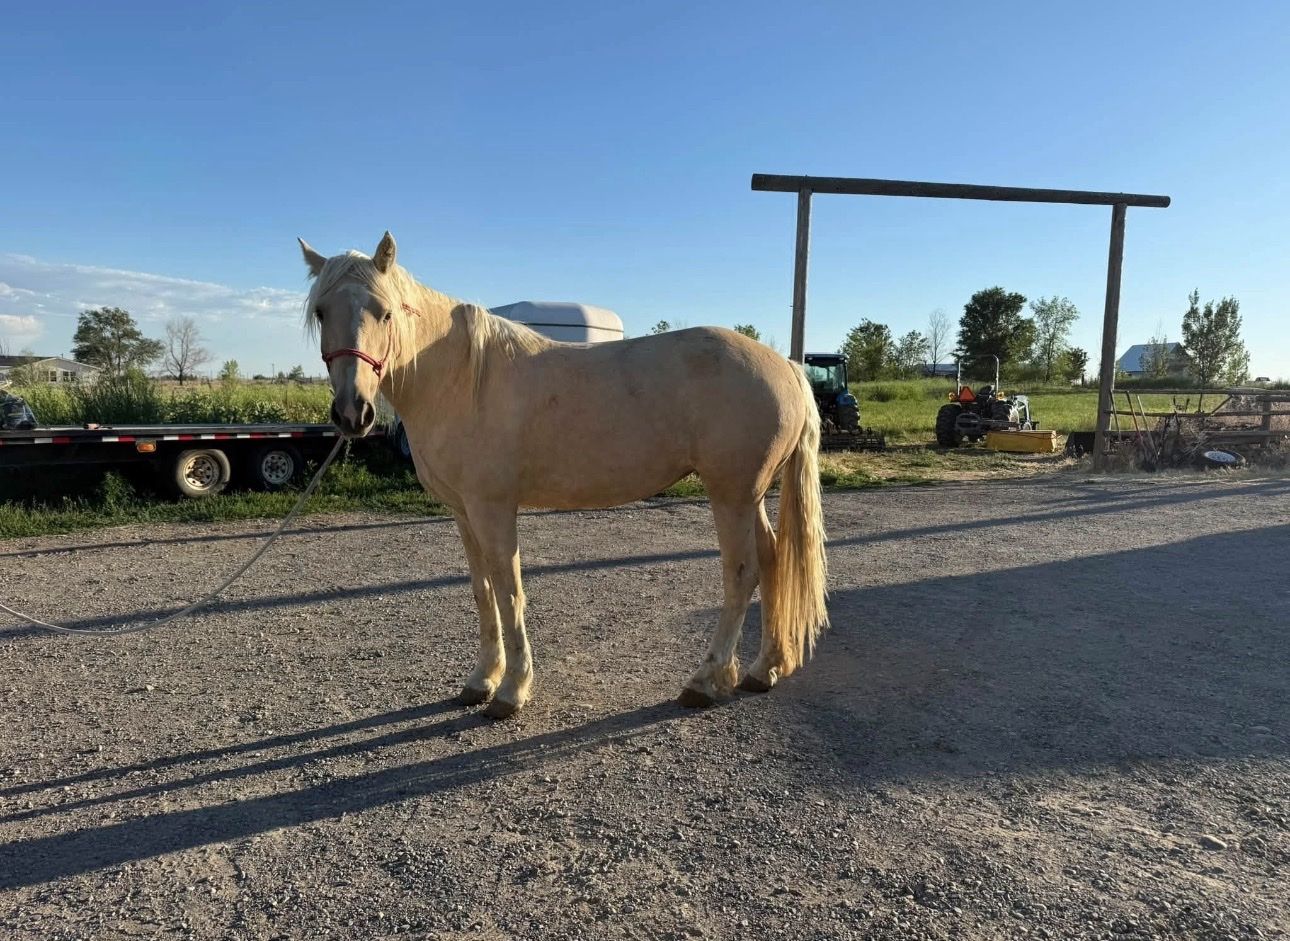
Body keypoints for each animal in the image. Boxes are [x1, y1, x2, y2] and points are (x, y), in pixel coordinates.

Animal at [300, 232, 829, 718]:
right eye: (322, 312)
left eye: (384, 312)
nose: (352, 413)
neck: (459, 380)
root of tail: (787, 366)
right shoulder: (463, 513)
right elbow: (482, 590)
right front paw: (481, 680)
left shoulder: (493, 509)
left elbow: (509, 589)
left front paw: (511, 690)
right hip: (747, 496)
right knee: (773, 559)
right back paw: (764, 669)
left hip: (731, 494)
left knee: (742, 573)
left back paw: (705, 680)